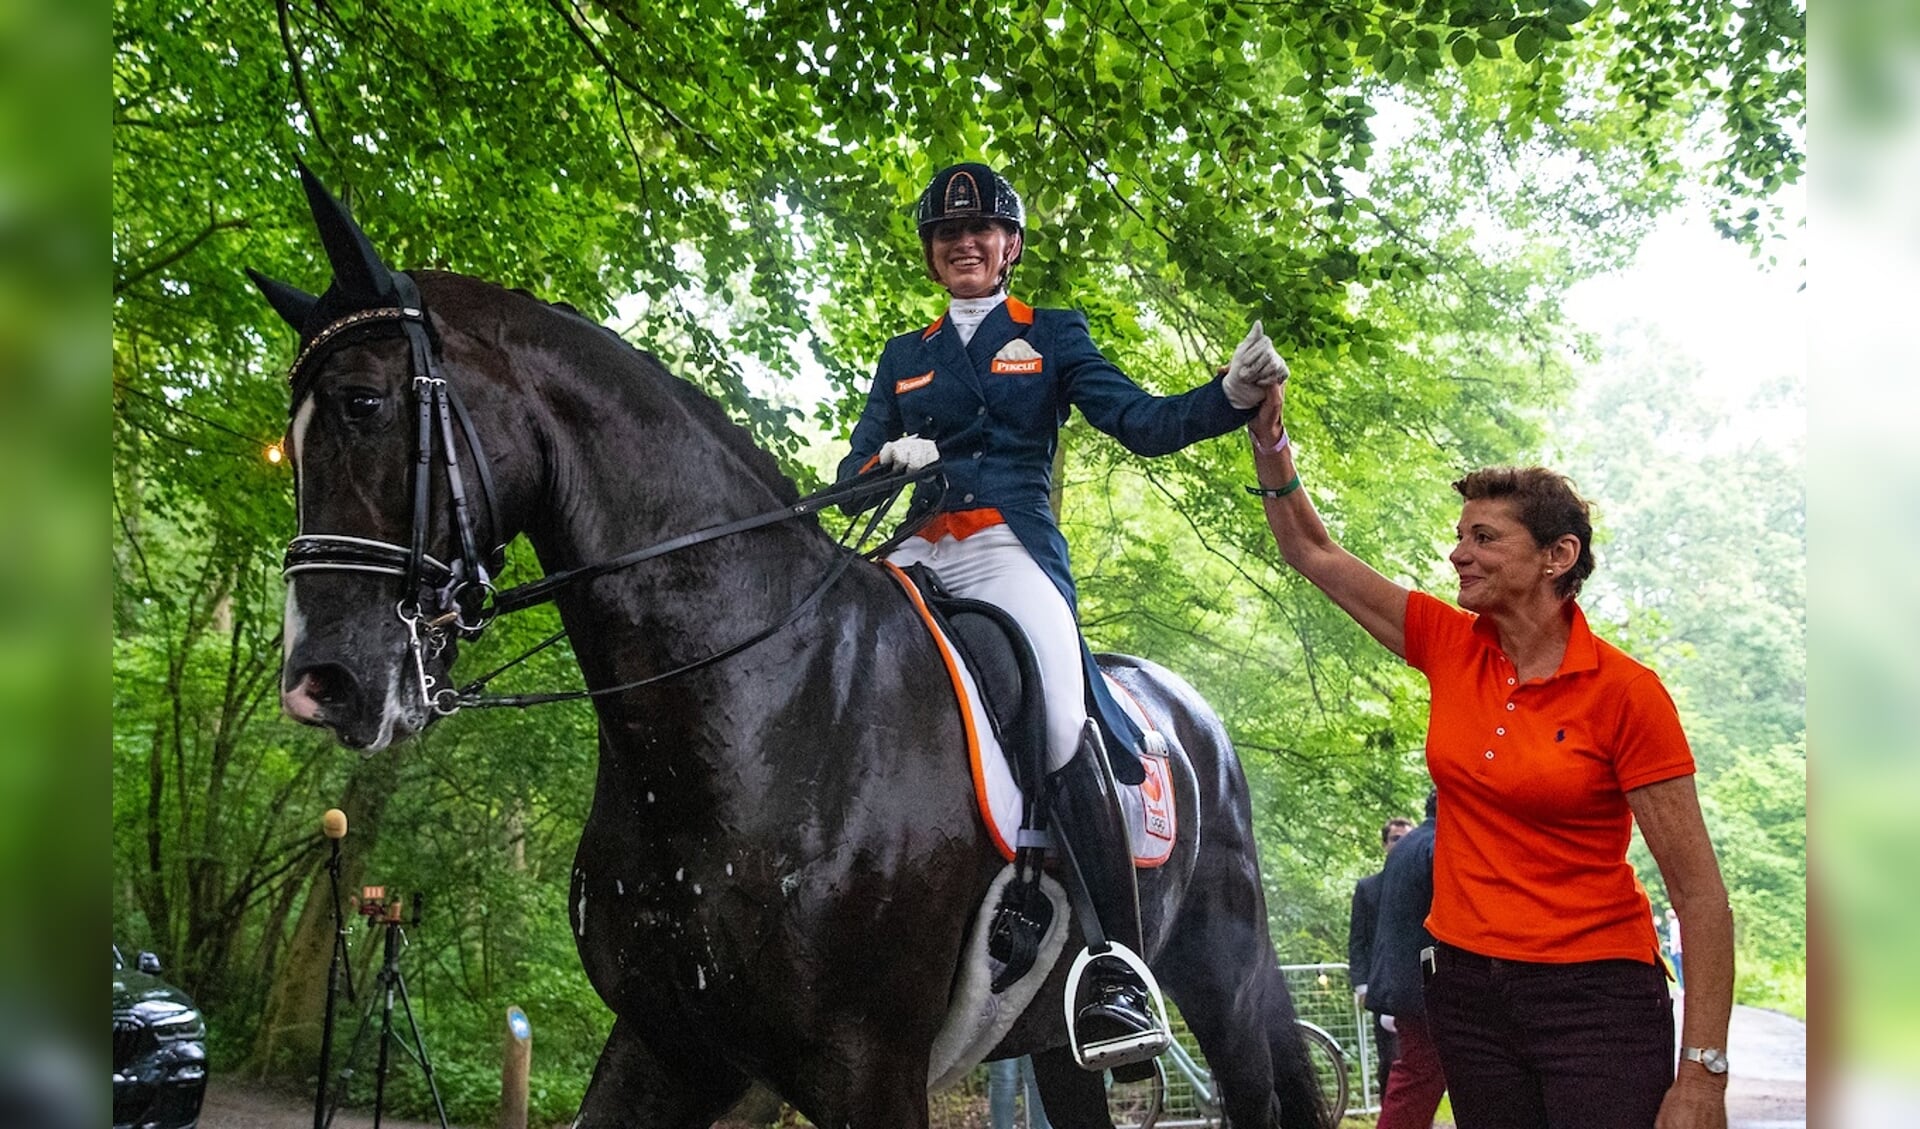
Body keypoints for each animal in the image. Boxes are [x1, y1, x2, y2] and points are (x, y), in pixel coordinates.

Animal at [263, 169, 1328, 1129]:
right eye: (292, 434)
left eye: (362, 404)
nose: (323, 682)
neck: (751, 712)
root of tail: (1192, 711)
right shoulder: (668, 1046)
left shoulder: (869, 1069)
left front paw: (1245, 384)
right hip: (1060, 1049)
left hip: (1225, 976)